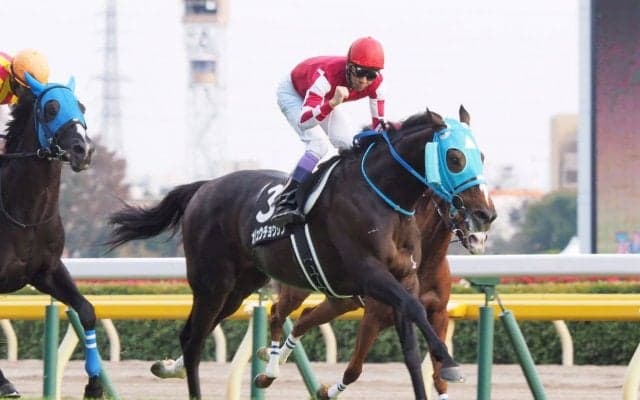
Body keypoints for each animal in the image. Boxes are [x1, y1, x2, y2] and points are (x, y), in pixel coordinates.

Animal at [0, 73, 100, 398]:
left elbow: (86, 310)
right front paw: (5, 383)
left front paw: (95, 384)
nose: (84, 150)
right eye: (51, 108)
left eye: (82, 106)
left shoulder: (46, 271)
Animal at [107, 106, 486, 399]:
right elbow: (409, 315)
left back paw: (170, 367)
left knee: (196, 333)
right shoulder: (371, 275)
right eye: (455, 157)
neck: (383, 199)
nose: (485, 214)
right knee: (199, 337)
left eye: (480, 155)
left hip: (239, 287)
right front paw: (451, 364)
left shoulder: (404, 279)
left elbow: (411, 349)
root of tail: (205, 187)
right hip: (213, 282)